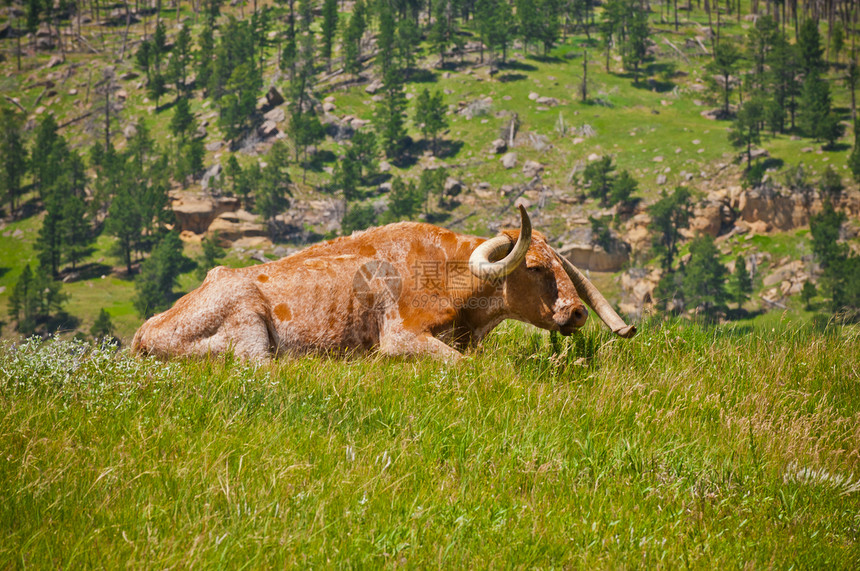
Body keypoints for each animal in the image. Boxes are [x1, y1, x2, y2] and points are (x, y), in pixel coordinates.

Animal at [131, 207, 636, 362]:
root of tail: (142, 333)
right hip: (248, 327)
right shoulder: (401, 335)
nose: (577, 311)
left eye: (560, 265)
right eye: (533, 267)